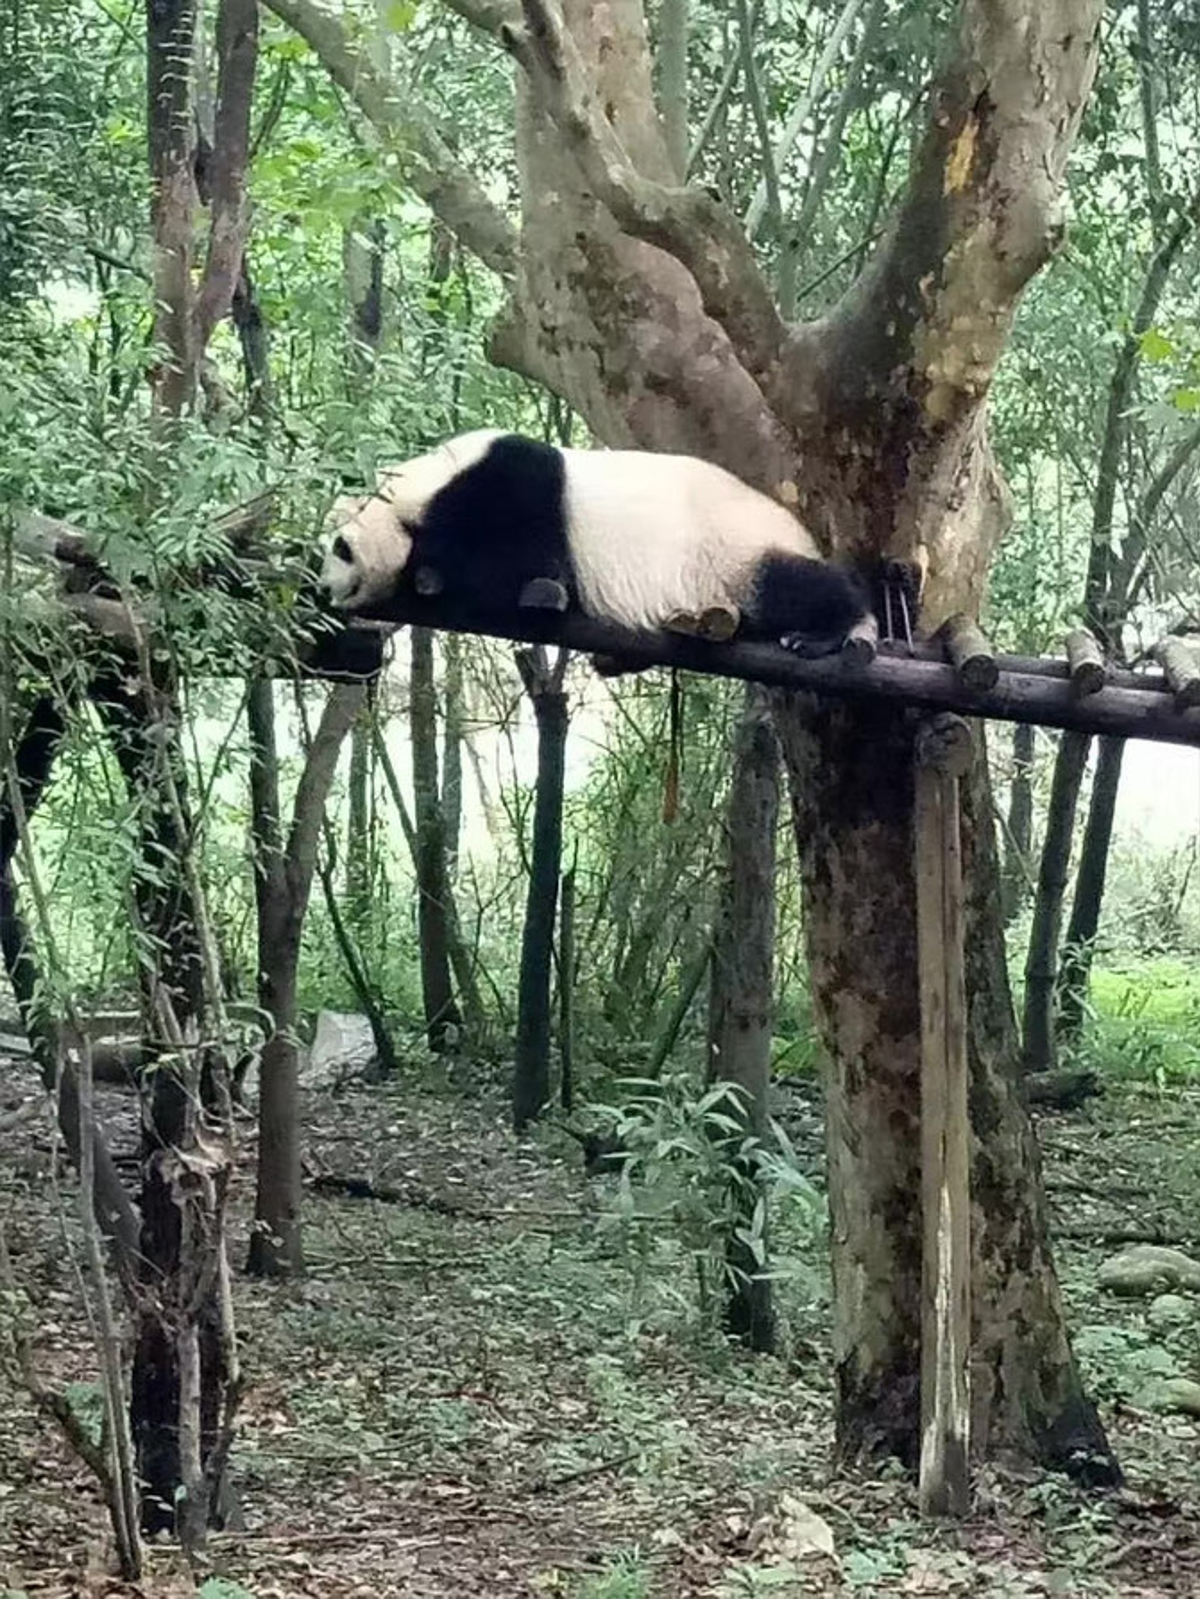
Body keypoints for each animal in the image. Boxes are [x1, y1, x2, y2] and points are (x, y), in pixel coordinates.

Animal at [320, 429, 877, 658]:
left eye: (340, 548)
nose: (326, 589)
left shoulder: (513, 482)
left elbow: (512, 559)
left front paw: (433, 572)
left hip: (733, 550)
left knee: (792, 584)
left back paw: (827, 632)